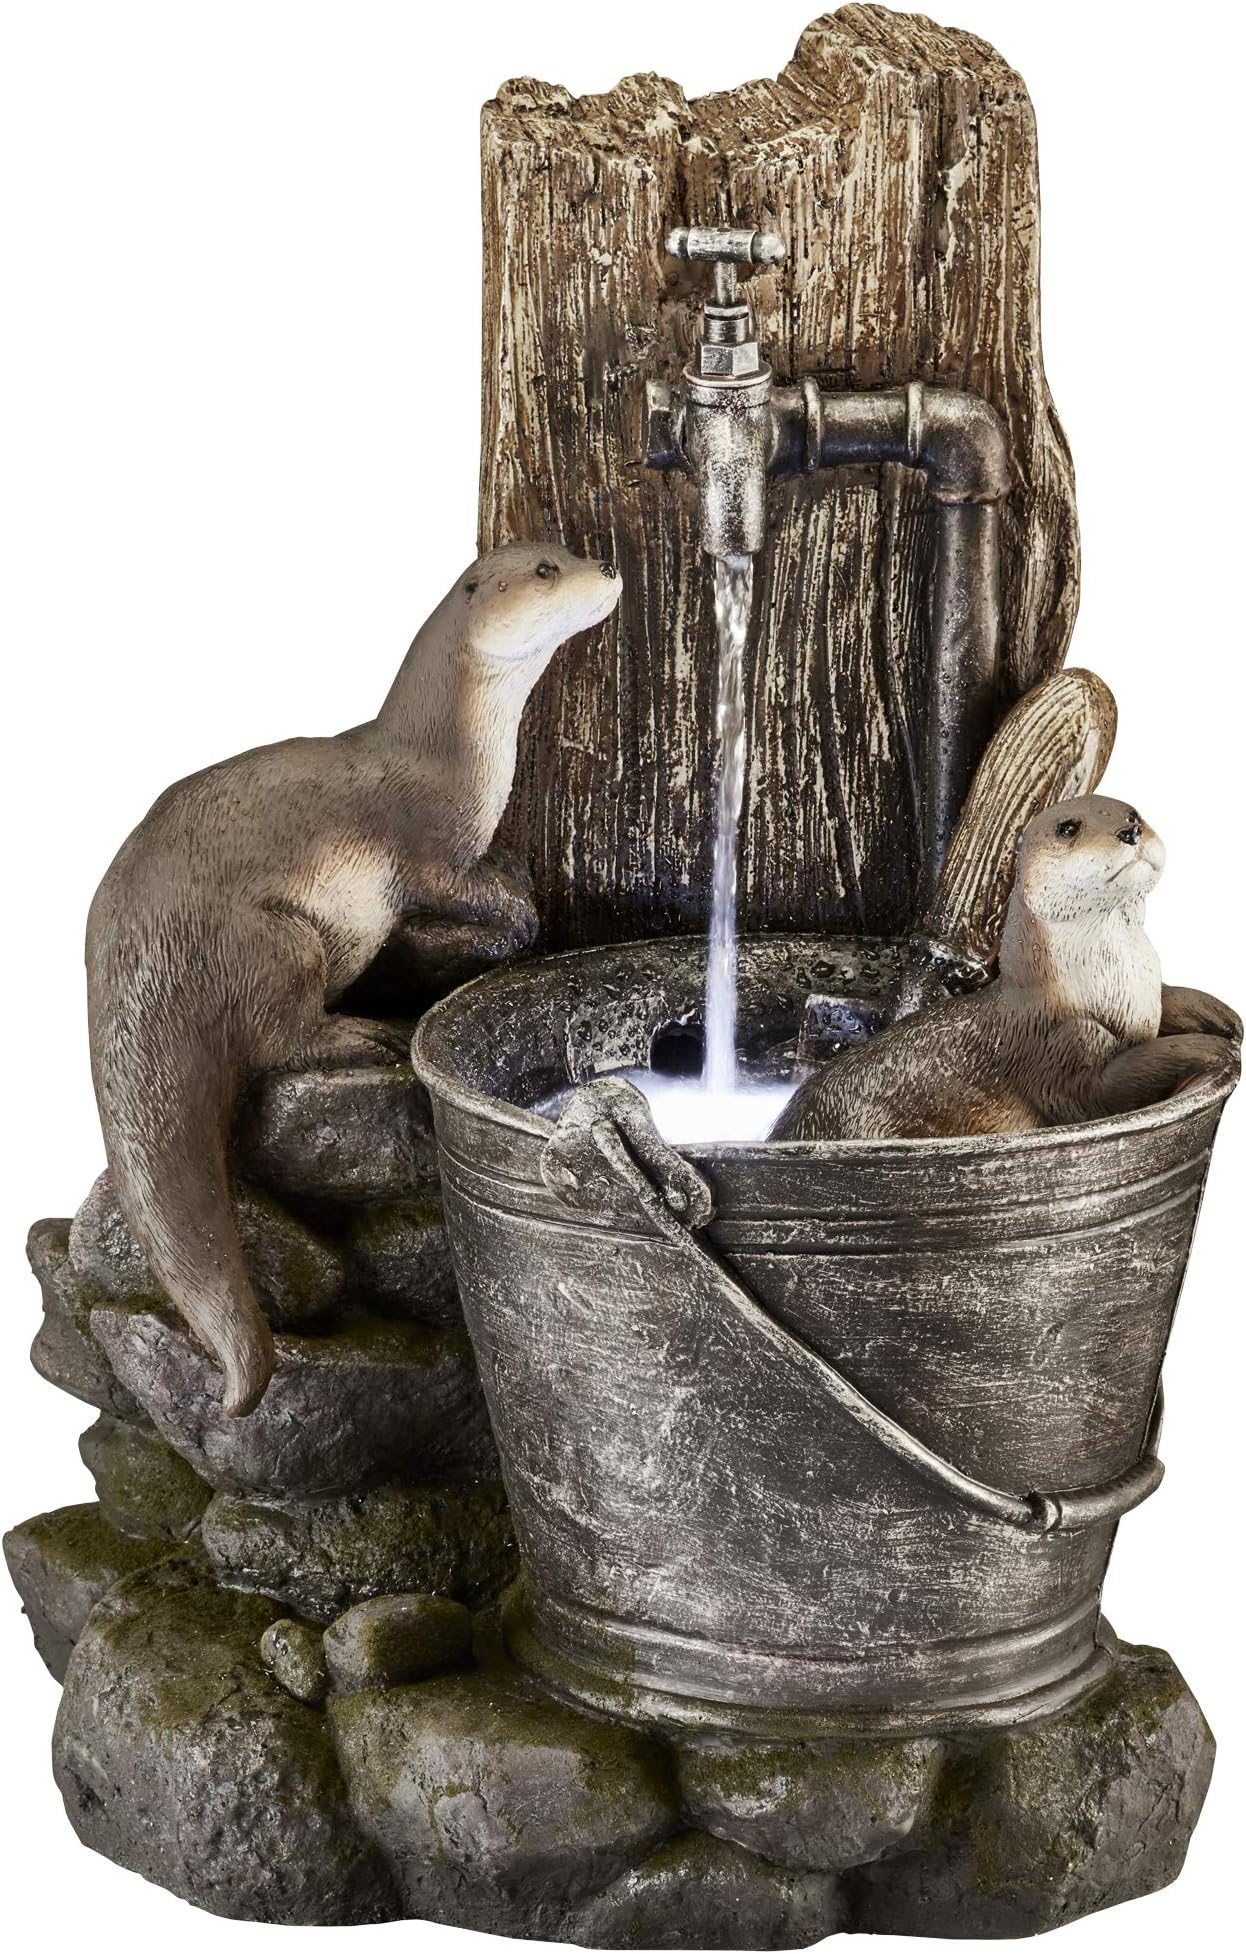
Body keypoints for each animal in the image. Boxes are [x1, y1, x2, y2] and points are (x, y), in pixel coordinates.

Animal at [87, 542, 621, 1414]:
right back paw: (364, 1034)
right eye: (546, 569)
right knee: (276, 1037)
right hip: (272, 942)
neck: (451, 755)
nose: (604, 569)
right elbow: (458, 887)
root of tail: (126, 969)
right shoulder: (426, 842)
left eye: (570, 551)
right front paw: (511, 901)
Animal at [772, 795, 1240, 1143]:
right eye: (1068, 828)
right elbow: (1100, 1090)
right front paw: (1204, 1049)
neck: (1111, 985)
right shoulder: (1055, 1042)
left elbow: (1166, 997)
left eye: (1132, 813)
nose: (1130, 832)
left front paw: (1216, 1014)